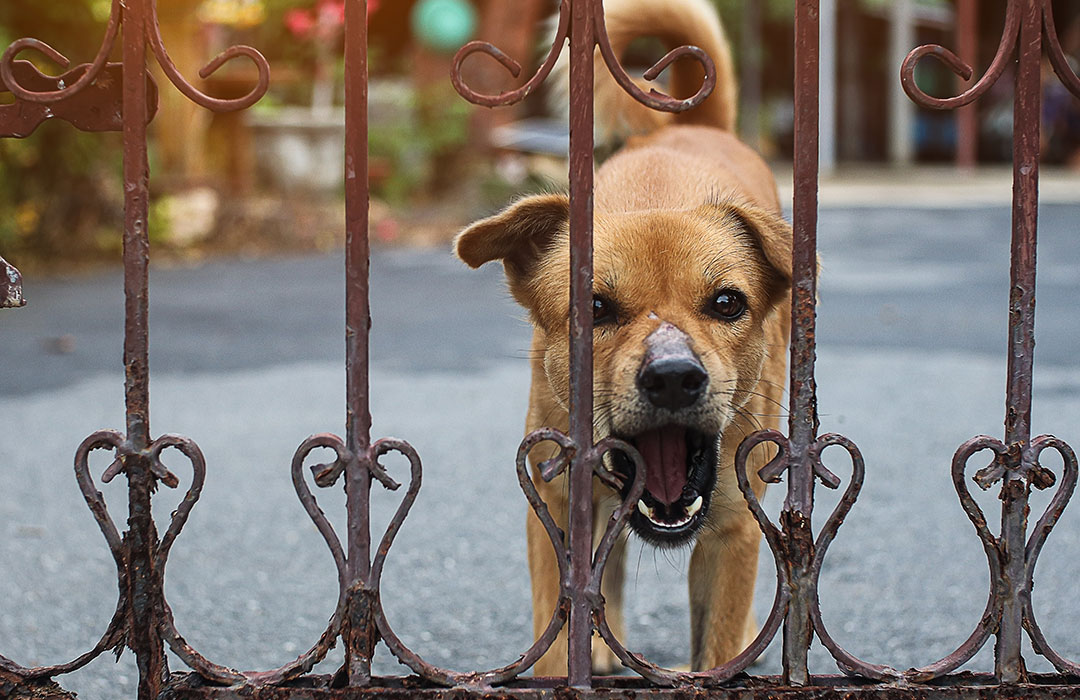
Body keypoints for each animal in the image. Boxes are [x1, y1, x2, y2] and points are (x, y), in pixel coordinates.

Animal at [451, 0, 790, 674]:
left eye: (727, 302)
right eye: (596, 307)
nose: (673, 377)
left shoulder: (734, 531)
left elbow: (716, 646)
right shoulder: (554, 504)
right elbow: (558, 632)